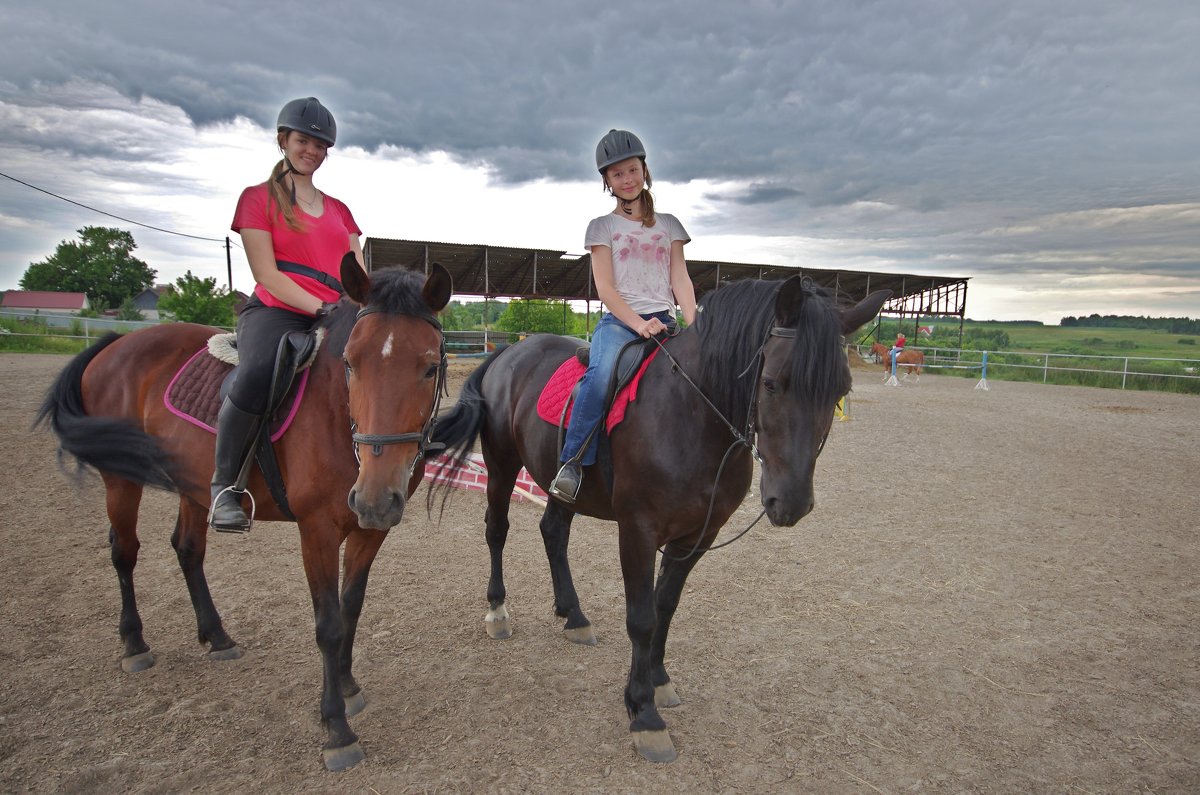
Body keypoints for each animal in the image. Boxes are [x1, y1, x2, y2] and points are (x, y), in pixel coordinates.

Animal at [37, 256, 451, 773]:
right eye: (350, 363)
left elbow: (351, 607)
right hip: (120, 479)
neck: (335, 414)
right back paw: (134, 644)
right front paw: (336, 727)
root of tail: (116, 345)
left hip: (195, 486)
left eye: (430, 367)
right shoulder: (316, 531)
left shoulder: (369, 530)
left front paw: (348, 687)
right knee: (124, 552)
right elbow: (328, 624)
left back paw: (217, 637)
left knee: (187, 550)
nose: (375, 496)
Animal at [427, 277, 888, 763]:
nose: (792, 502)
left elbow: (666, 605)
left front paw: (658, 680)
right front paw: (643, 712)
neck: (692, 414)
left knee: (553, 533)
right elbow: (641, 617)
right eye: (770, 382)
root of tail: (507, 353)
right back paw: (498, 610)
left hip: (559, 482)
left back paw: (574, 615)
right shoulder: (638, 531)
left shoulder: (698, 534)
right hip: (501, 463)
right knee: (497, 530)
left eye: (840, 390)